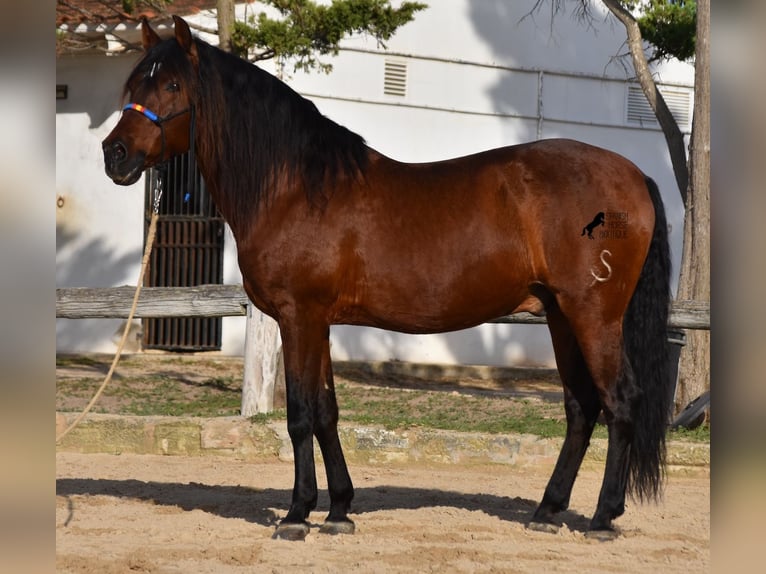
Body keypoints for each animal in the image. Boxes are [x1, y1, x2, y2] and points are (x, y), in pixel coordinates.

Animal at [102, 15, 672, 544]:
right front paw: (338, 510)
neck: (296, 188)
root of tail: (633, 175)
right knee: (581, 407)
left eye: (171, 86)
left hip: (594, 315)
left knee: (620, 401)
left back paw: (602, 518)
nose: (115, 155)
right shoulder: (318, 321)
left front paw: (296, 514)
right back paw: (547, 511)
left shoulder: (298, 316)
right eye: (134, 84)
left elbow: (300, 413)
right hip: (559, 315)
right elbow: (327, 411)